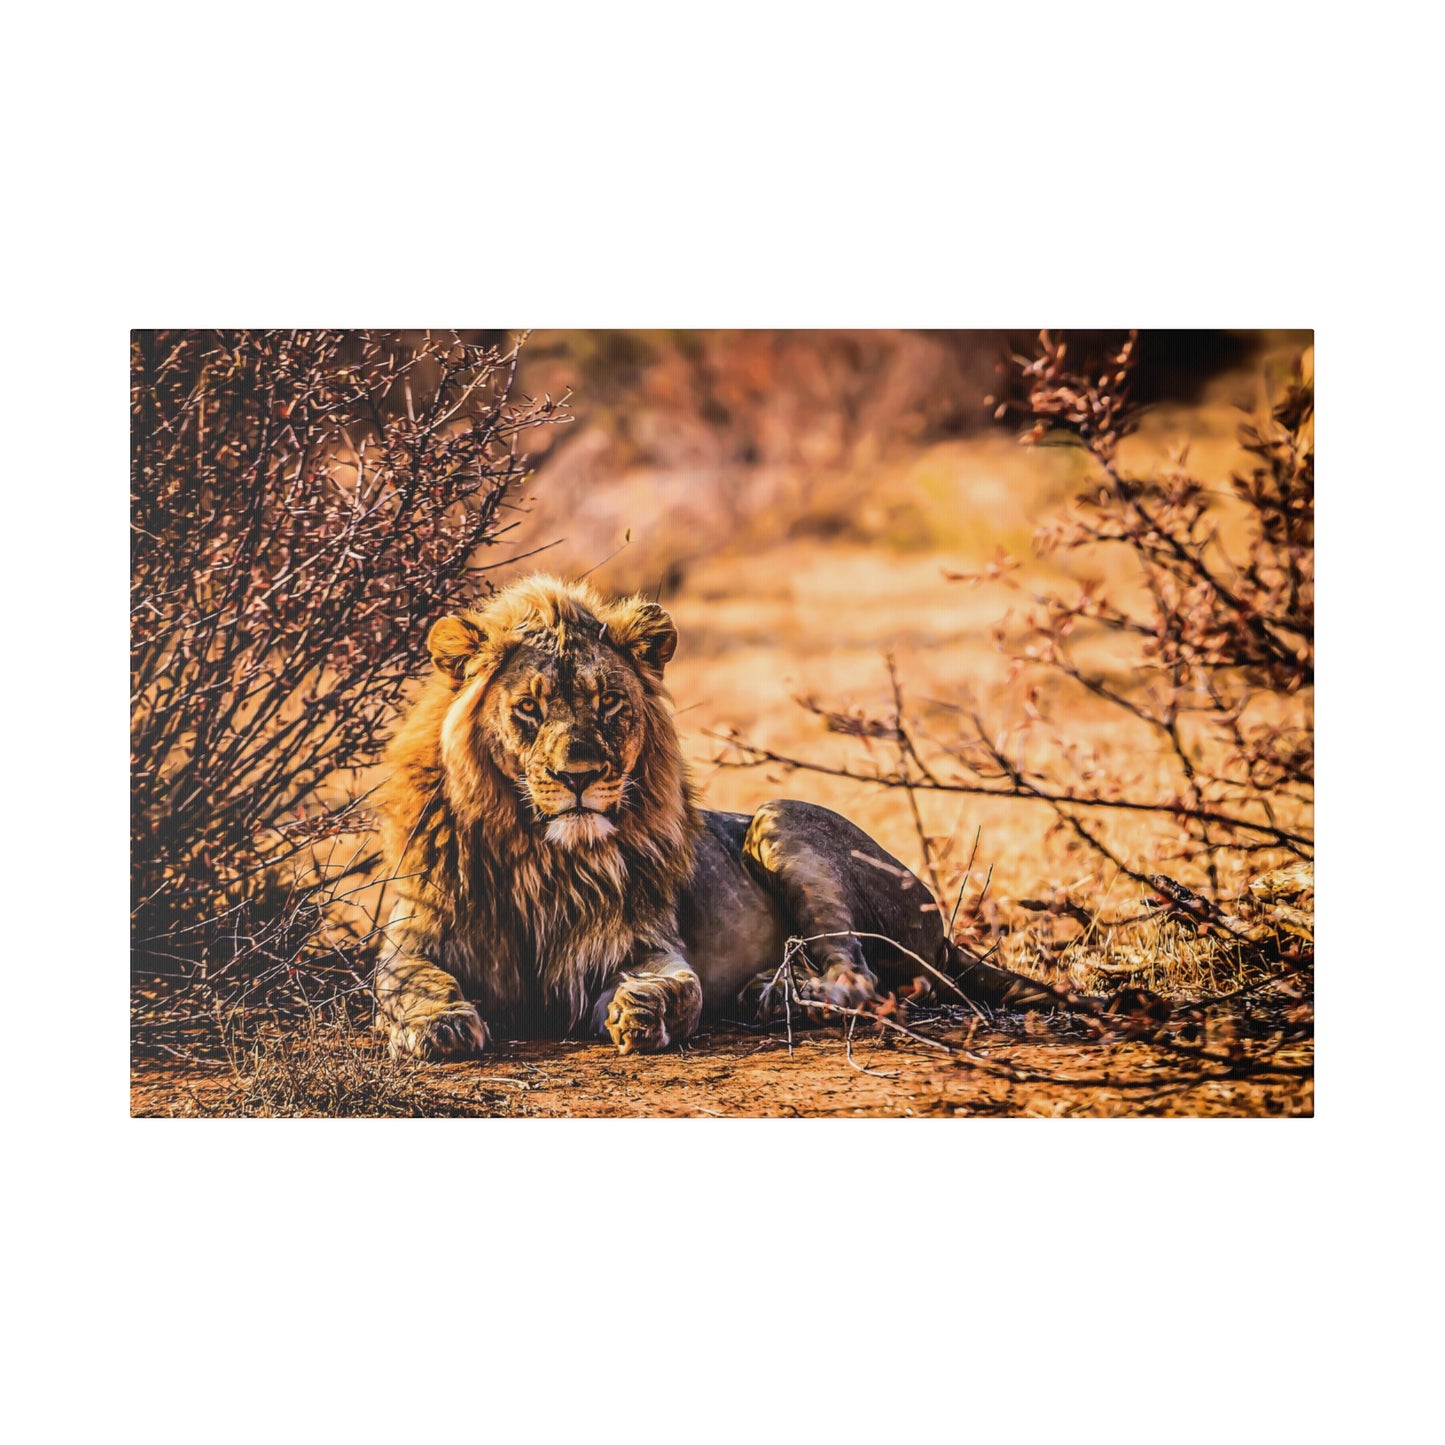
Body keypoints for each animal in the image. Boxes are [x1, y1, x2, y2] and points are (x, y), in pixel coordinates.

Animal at [372, 569, 1057, 1057]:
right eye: (529, 709)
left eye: (610, 702)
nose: (579, 777)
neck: (543, 858)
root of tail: (943, 932)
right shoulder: (412, 939)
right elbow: (409, 983)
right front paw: (440, 1025)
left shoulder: (643, 944)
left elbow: (683, 986)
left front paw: (643, 1012)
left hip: (781, 820)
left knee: (859, 979)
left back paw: (778, 995)